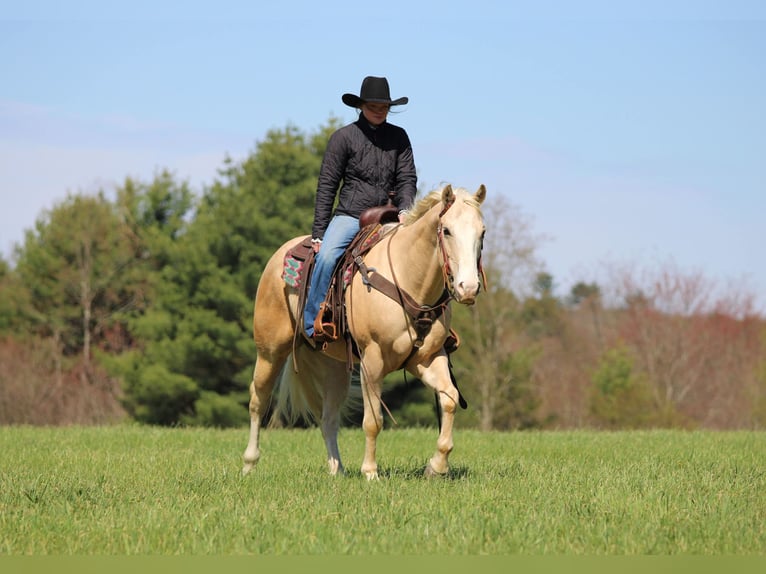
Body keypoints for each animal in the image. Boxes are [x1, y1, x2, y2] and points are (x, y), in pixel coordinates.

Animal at [242, 184, 487, 479]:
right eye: (447, 230)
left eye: (482, 232)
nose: (468, 288)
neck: (407, 277)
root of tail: (279, 257)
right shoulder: (372, 361)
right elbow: (373, 421)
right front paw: (370, 472)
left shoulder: (428, 358)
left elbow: (449, 399)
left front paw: (436, 467)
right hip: (269, 350)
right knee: (258, 399)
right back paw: (249, 463)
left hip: (334, 367)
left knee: (328, 418)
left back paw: (337, 469)